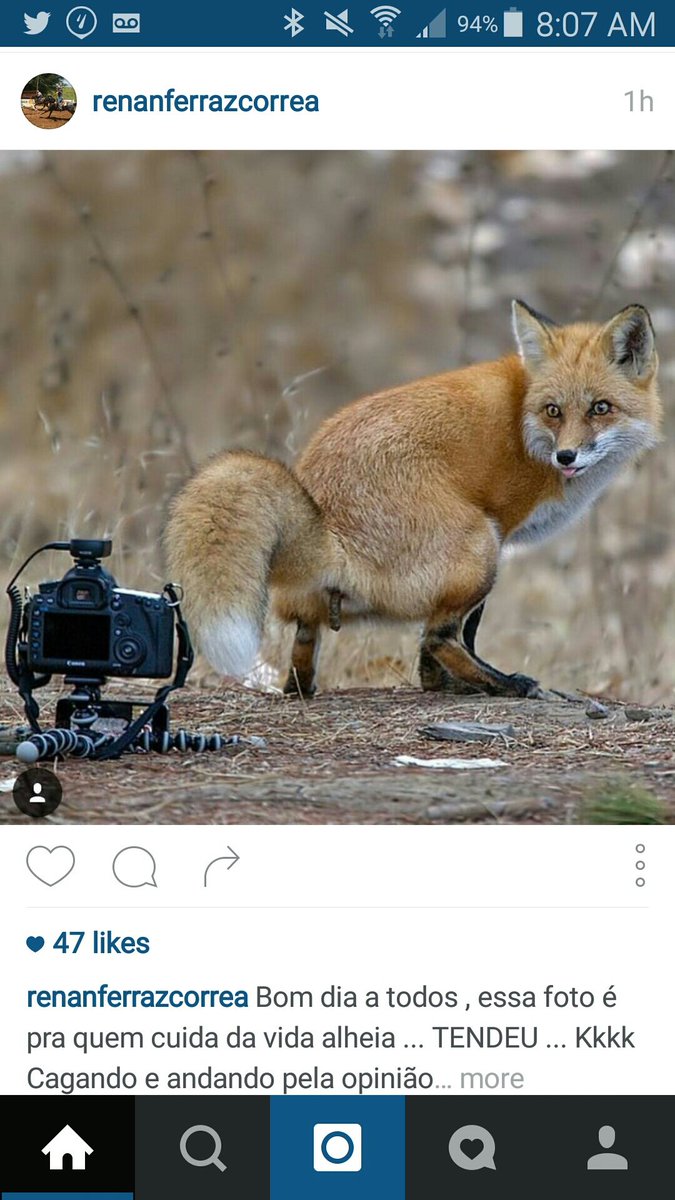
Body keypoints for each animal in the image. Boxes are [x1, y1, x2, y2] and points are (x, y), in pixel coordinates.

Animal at [165, 300, 662, 699]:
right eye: (553, 411)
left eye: (600, 408)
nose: (566, 456)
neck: (525, 424)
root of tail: (330, 529)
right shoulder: (501, 528)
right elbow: (464, 631)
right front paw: (455, 681)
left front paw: (438, 683)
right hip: (478, 547)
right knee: (438, 636)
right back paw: (505, 684)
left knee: (307, 644)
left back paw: (304, 688)